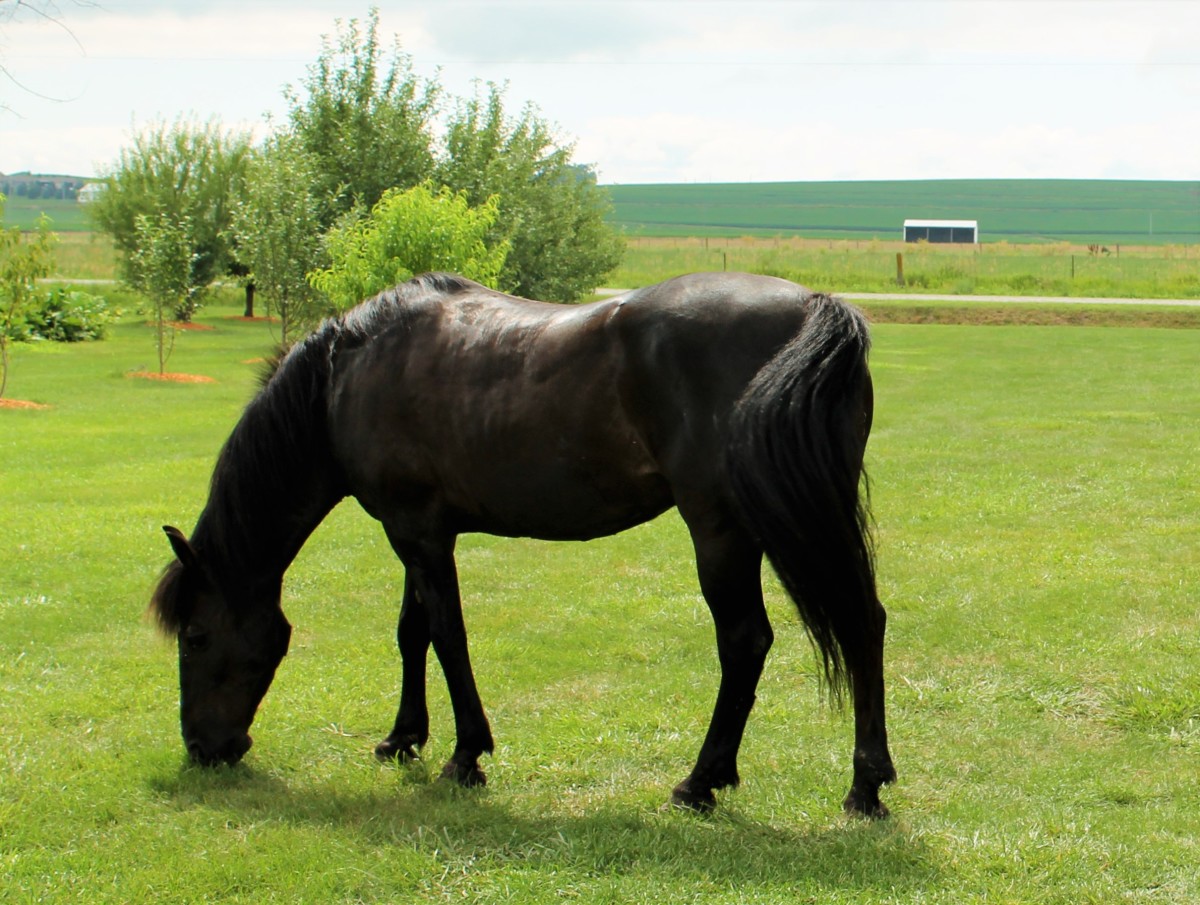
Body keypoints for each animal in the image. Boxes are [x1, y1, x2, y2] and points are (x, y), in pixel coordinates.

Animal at [150, 271, 897, 816]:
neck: (350, 370)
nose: (203, 747)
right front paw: (403, 738)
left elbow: (446, 635)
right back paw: (865, 785)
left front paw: (465, 756)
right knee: (864, 621)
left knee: (746, 641)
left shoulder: (416, 532)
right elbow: (412, 632)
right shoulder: (416, 530)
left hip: (723, 528)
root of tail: (814, 308)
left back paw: (701, 781)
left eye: (194, 635)